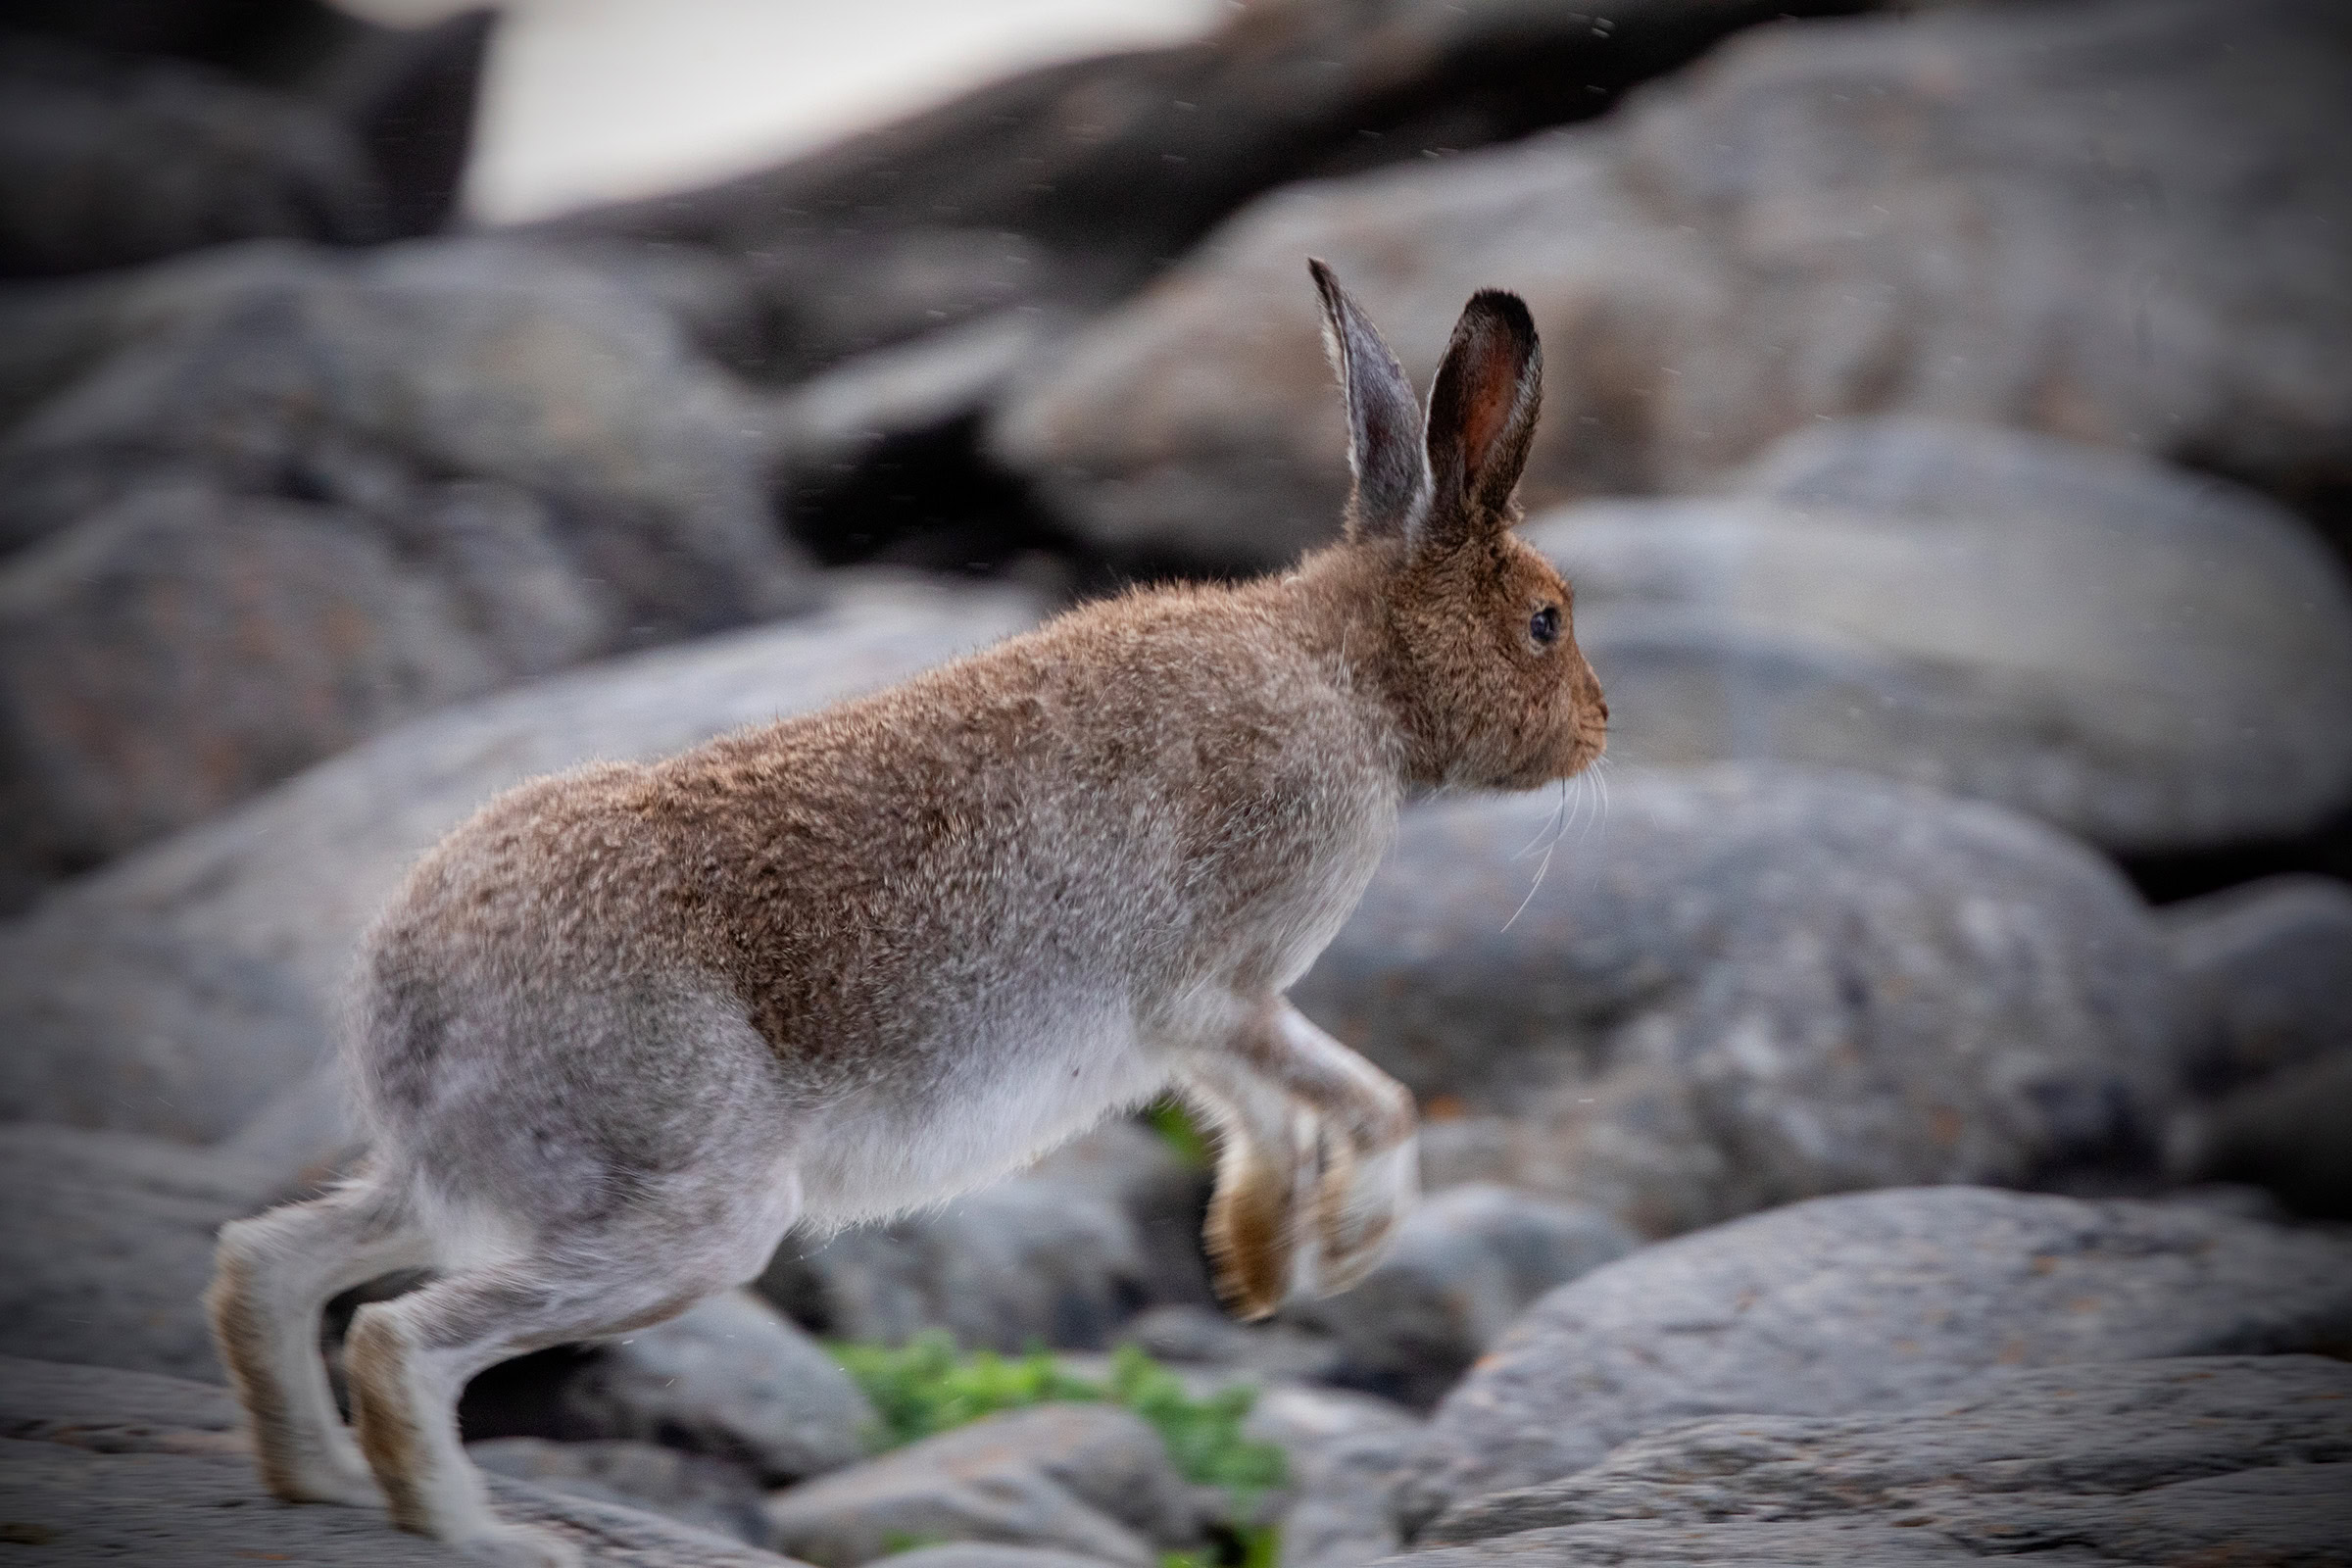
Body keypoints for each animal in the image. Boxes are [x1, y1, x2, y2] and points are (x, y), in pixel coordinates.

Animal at [204, 259, 1608, 1567]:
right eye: (1545, 621)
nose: (1600, 728)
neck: (1356, 678)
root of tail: (403, 1007)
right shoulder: (1218, 984)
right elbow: (1374, 1100)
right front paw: (1355, 1246)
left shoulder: (1193, 1025)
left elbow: (1260, 1110)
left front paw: (1258, 1261)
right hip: (688, 1205)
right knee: (398, 1336)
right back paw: (480, 1532)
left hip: (485, 1184)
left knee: (267, 1262)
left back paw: (315, 1482)